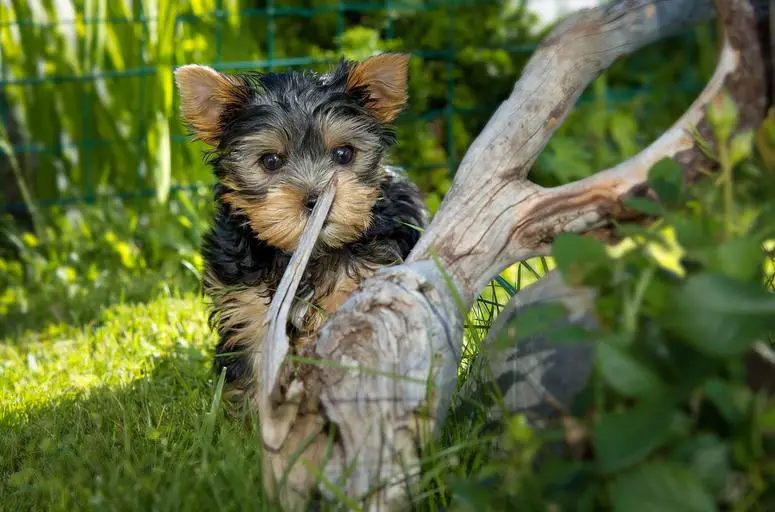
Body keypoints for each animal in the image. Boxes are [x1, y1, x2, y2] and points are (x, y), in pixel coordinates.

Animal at [175, 54, 428, 410]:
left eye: (343, 154)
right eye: (270, 160)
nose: (315, 200)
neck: (305, 253)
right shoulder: (246, 303)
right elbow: (255, 356)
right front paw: (256, 414)